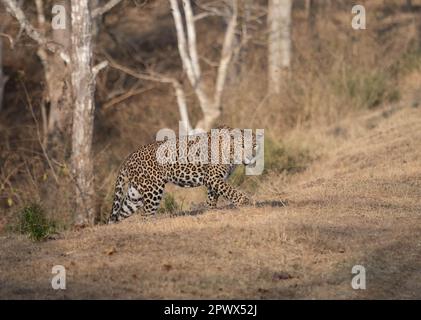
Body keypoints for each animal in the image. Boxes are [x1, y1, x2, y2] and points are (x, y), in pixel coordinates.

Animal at [107, 124, 260, 224]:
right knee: (146, 214)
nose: (250, 157)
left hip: (135, 195)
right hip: (153, 190)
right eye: (242, 146)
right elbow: (230, 190)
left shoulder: (215, 180)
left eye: (254, 146)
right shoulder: (213, 177)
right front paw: (244, 201)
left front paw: (211, 211)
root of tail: (128, 158)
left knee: (120, 213)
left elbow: (213, 197)